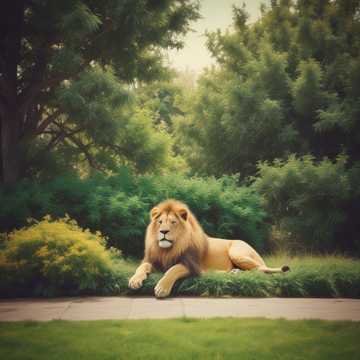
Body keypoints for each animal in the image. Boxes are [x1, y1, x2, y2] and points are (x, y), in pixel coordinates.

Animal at [128, 200, 288, 298]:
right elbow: (142, 266)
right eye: (160, 222)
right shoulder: (155, 261)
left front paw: (162, 288)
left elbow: (173, 270)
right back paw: (232, 272)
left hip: (237, 252)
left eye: (173, 222)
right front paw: (134, 280)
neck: (169, 249)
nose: (163, 232)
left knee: (261, 270)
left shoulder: (192, 265)